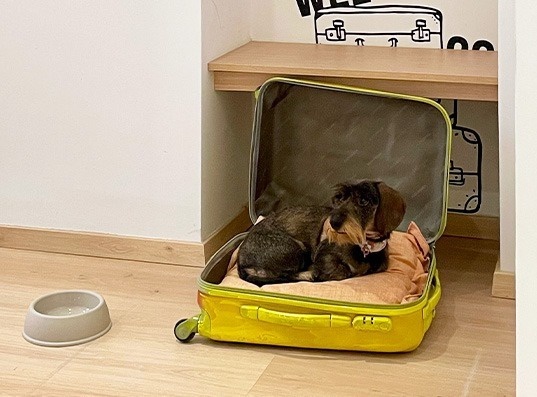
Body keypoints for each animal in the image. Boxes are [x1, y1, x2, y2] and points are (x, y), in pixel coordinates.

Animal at [237, 179, 404, 284]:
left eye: (363, 201)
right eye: (339, 198)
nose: (333, 222)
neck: (364, 247)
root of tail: (240, 260)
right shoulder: (324, 255)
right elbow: (341, 271)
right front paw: (321, 273)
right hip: (296, 249)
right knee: (287, 274)